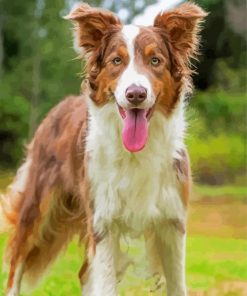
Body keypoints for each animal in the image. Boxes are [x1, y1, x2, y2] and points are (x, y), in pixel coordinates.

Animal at [0, 2, 206, 296]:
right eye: (116, 61)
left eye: (155, 61)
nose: (135, 94)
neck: (136, 153)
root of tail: (60, 106)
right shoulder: (104, 221)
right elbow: (105, 282)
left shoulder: (172, 220)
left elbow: (177, 284)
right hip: (39, 204)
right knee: (17, 259)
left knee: (85, 273)